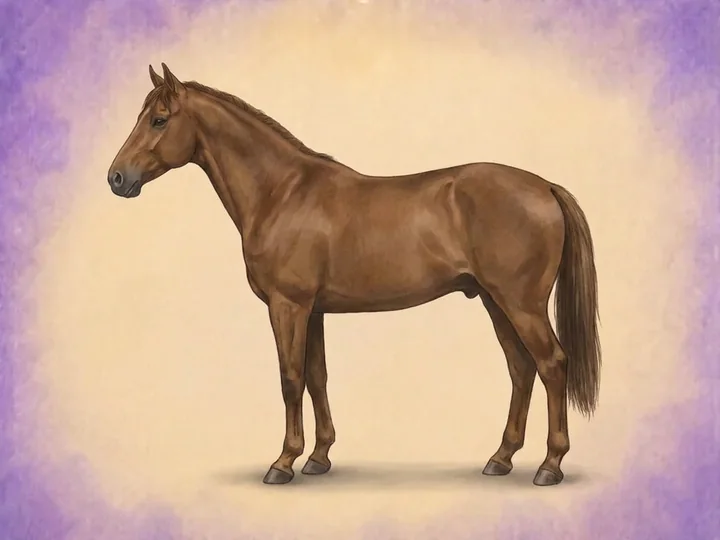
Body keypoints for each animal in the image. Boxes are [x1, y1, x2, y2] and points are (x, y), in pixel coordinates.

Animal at [107, 63, 600, 487]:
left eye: (159, 120)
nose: (116, 178)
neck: (281, 193)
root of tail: (545, 187)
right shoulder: (313, 310)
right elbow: (316, 376)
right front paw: (318, 457)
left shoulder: (288, 306)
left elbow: (290, 378)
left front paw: (283, 463)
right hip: (495, 302)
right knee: (521, 369)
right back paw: (500, 459)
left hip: (521, 304)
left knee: (552, 364)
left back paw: (550, 466)